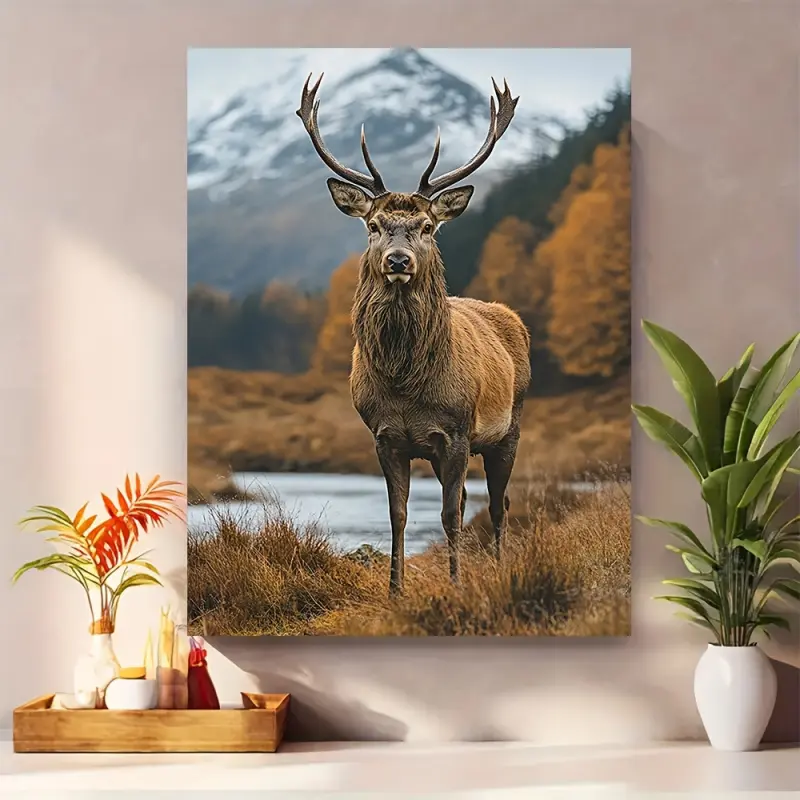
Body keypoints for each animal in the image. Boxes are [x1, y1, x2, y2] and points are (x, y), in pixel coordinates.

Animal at [296, 74, 531, 596]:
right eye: (374, 225)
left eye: (426, 226)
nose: (398, 260)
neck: (407, 384)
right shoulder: (386, 436)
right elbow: (399, 515)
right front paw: (395, 589)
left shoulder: (458, 431)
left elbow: (447, 516)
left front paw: (457, 586)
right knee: (468, 501)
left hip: (509, 428)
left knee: (498, 505)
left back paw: (502, 568)